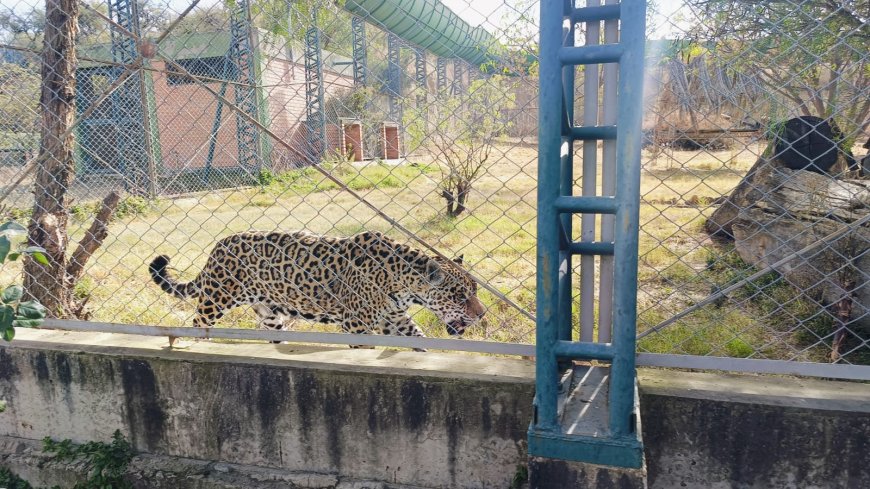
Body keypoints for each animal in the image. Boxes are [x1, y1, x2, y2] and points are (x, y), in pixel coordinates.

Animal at [148, 230, 485, 345]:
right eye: (460, 296)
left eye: (475, 292)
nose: (482, 314)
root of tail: (218, 246)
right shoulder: (357, 325)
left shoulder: (396, 319)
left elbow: (419, 339)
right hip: (216, 298)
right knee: (197, 323)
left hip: (269, 312)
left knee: (274, 331)